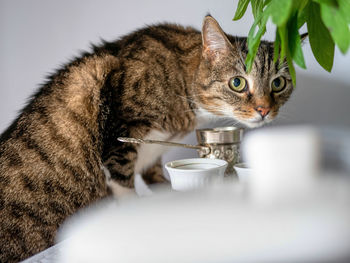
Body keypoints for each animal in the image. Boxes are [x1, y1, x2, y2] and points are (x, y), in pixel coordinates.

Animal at [0, 15, 296, 262]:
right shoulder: (120, 131)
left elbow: (154, 174)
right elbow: (122, 181)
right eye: (237, 83)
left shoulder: (154, 153)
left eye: (278, 83)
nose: (264, 110)